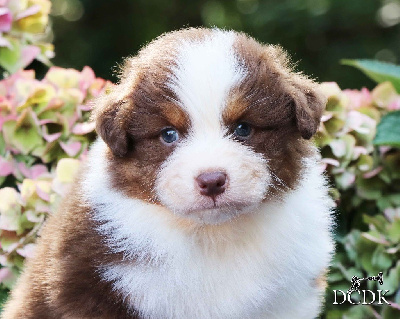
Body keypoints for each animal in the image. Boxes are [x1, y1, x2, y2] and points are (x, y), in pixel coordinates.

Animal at [2, 28, 334, 318]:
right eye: (168, 135)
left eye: (243, 128)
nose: (211, 181)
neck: (214, 236)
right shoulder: (89, 288)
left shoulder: (288, 298)